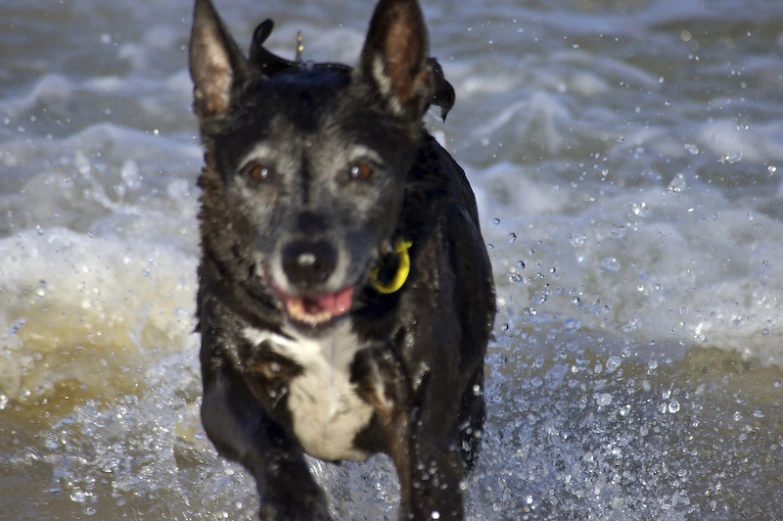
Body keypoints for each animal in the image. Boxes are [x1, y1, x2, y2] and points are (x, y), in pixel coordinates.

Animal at [190, 2, 496, 516]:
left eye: (362, 170)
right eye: (258, 172)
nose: (307, 262)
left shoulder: (424, 410)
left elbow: (429, 469)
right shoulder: (225, 381)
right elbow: (260, 431)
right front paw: (293, 499)